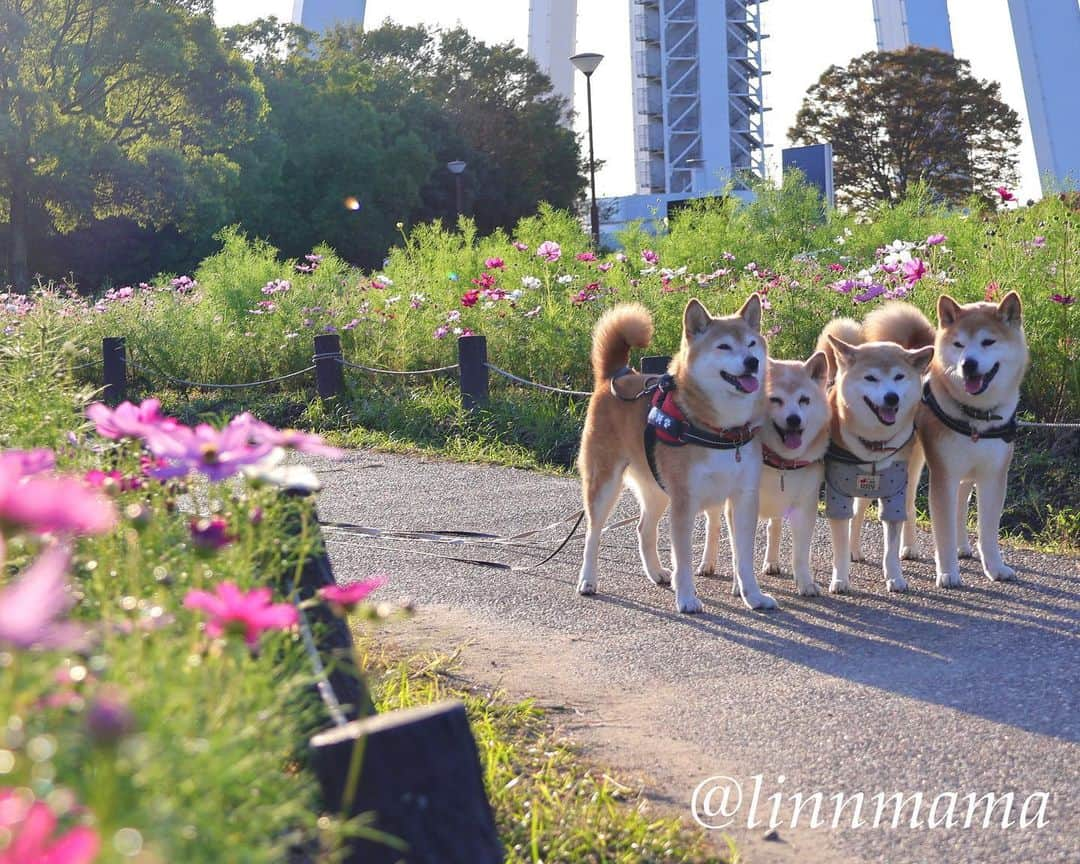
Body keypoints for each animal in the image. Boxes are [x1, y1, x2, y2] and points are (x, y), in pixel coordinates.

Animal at [574, 298, 777, 613]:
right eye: (724, 346)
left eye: (752, 343)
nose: (752, 362)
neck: (722, 431)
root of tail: (617, 376)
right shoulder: (685, 501)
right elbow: (683, 558)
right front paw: (686, 598)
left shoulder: (744, 497)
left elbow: (743, 559)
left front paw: (753, 597)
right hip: (605, 483)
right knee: (593, 533)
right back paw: (587, 580)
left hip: (656, 488)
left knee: (644, 529)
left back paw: (656, 573)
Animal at [756, 354, 829, 596]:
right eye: (775, 399)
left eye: (804, 400)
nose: (794, 419)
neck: (781, 463)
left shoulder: (805, 506)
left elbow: (800, 554)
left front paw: (805, 583)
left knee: (774, 528)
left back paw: (771, 562)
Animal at [812, 313, 933, 596]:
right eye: (871, 378)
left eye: (899, 377)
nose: (892, 398)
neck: (873, 444)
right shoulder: (838, 493)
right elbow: (840, 543)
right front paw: (840, 578)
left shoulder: (893, 492)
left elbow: (890, 545)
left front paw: (895, 577)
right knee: (857, 515)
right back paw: (855, 550)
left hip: (909, 474)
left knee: (909, 508)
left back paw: (909, 547)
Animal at [894, 295, 1028, 587]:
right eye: (959, 345)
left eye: (988, 342)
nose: (968, 364)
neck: (977, 418)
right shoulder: (944, 475)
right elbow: (943, 530)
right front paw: (947, 572)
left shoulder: (993, 476)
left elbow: (987, 530)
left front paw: (995, 567)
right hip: (912, 464)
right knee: (908, 505)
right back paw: (908, 547)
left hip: (966, 474)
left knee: (961, 505)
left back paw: (963, 547)